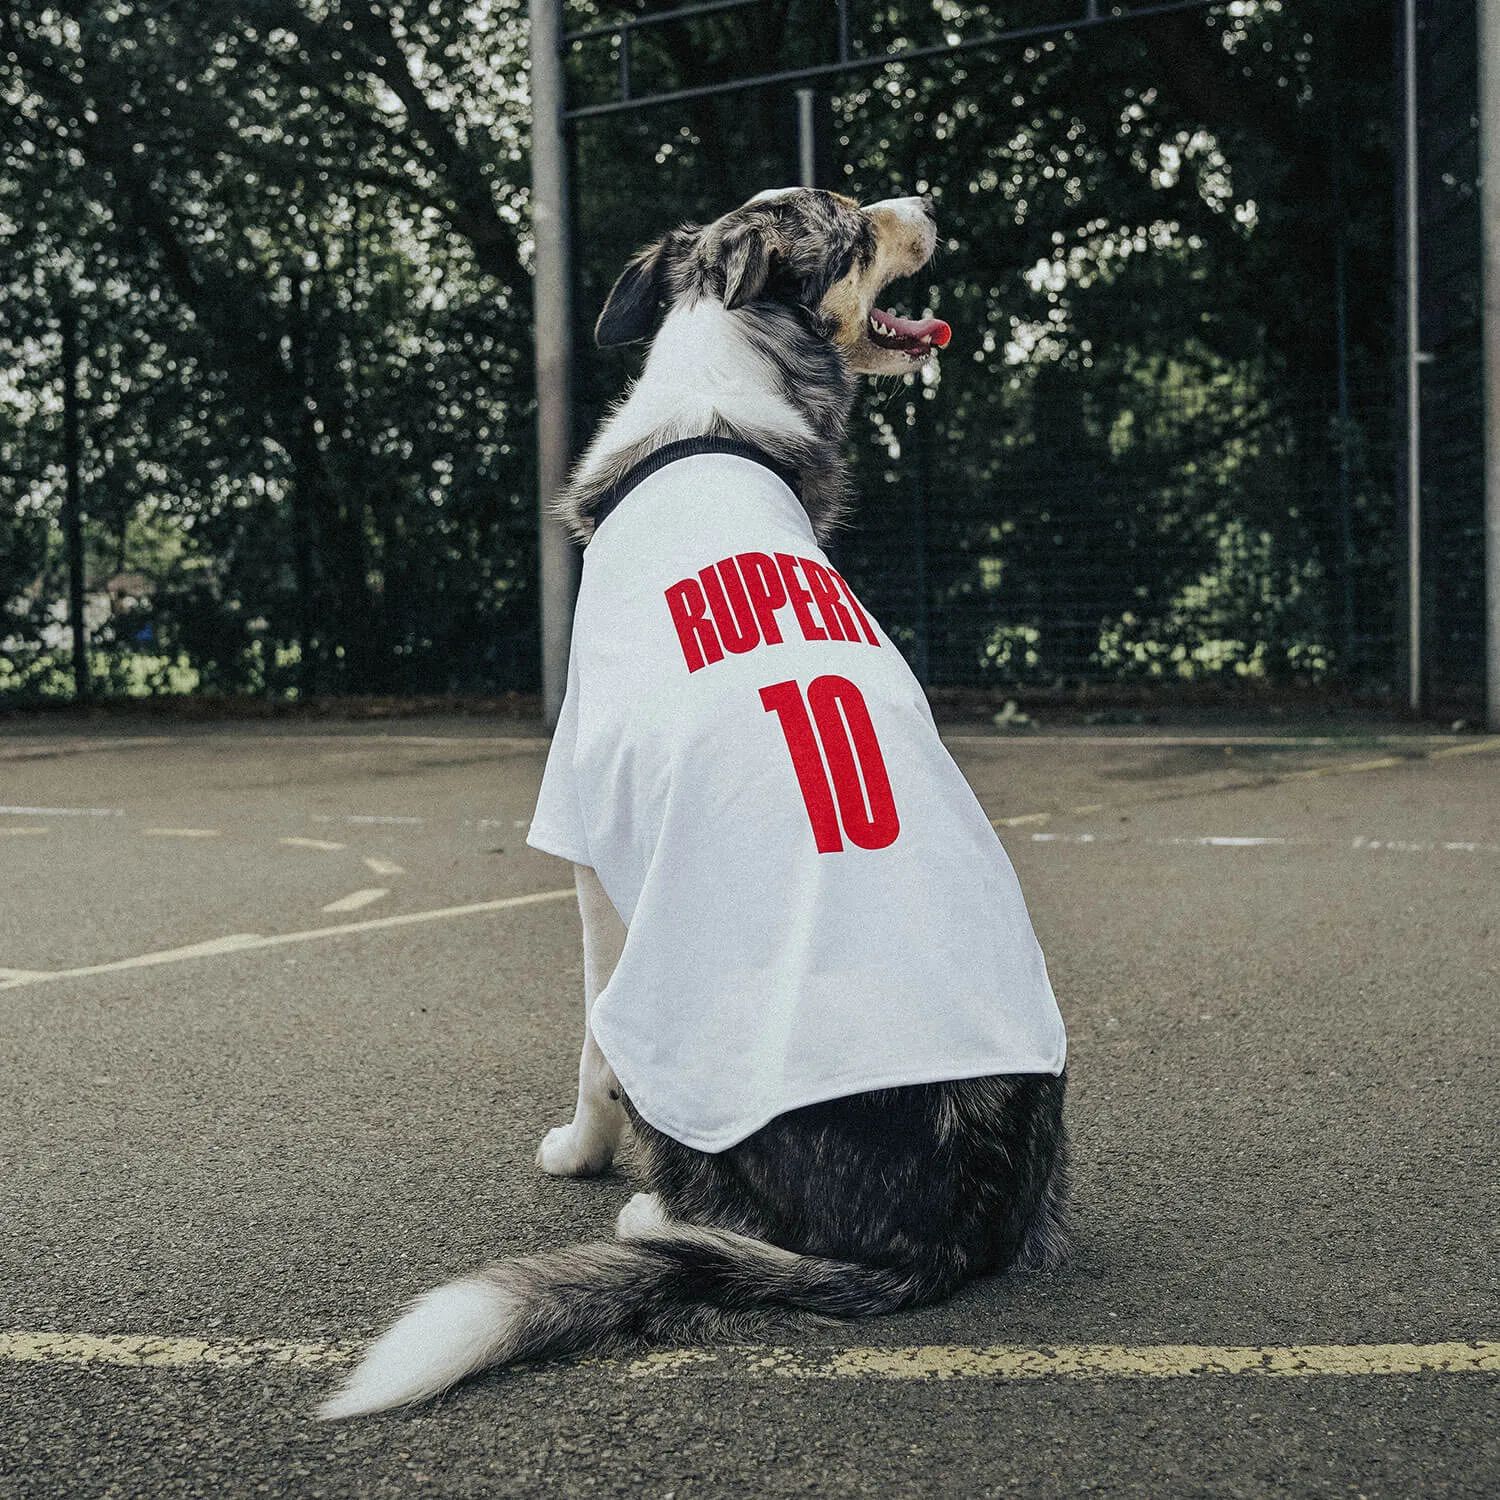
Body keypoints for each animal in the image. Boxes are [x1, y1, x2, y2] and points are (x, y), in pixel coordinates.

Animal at [319, 187, 1068, 1416]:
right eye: (855, 223)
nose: (925, 204)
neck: (715, 413)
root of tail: (941, 1236)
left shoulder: (590, 843)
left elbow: (586, 1047)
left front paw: (578, 1153)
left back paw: (646, 1211)